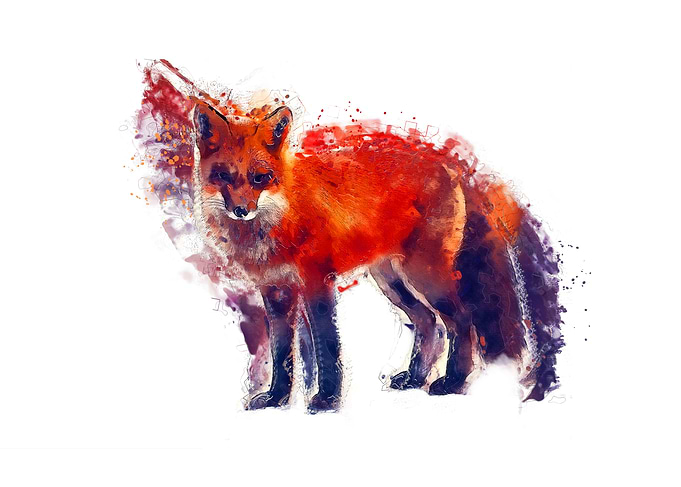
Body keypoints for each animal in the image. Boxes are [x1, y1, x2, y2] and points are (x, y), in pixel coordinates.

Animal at [135, 60, 564, 413]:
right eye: (224, 176)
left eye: (260, 178)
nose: (242, 210)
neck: (279, 219)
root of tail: (450, 164)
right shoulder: (276, 292)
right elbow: (281, 354)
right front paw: (276, 398)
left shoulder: (316, 282)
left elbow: (326, 346)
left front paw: (326, 399)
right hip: (390, 280)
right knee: (427, 322)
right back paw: (415, 378)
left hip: (425, 275)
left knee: (461, 321)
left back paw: (452, 383)